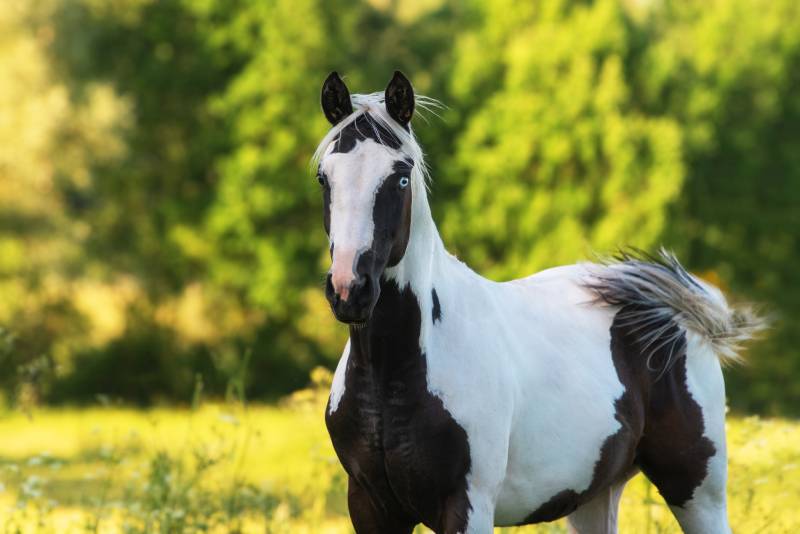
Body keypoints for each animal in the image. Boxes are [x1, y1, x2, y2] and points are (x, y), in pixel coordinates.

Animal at [312, 72, 764, 534]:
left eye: (400, 177)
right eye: (324, 178)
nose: (350, 289)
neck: (396, 372)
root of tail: (668, 309)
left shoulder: (467, 506)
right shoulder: (370, 506)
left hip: (697, 493)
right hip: (594, 498)